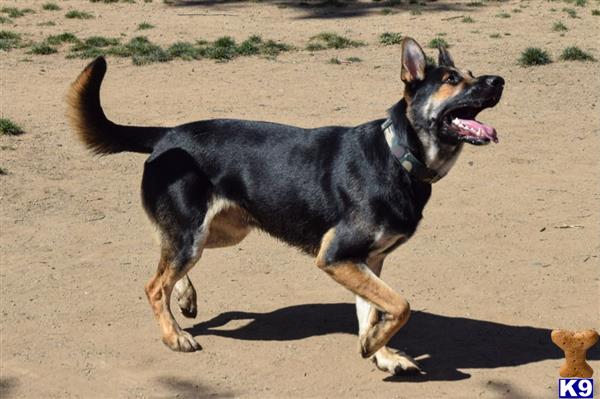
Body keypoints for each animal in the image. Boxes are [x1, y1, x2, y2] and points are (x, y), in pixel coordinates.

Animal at [68, 37, 504, 376]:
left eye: (470, 72)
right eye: (451, 80)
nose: (498, 80)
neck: (399, 155)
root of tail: (166, 134)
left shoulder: (368, 261)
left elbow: (375, 309)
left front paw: (379, 350)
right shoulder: (337, 256)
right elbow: (401, 304)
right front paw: (374, 346)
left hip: (221, 231)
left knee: (164, 258)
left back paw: (186, 298)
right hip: (194, 234)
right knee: (154, 284)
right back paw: (173, 335)